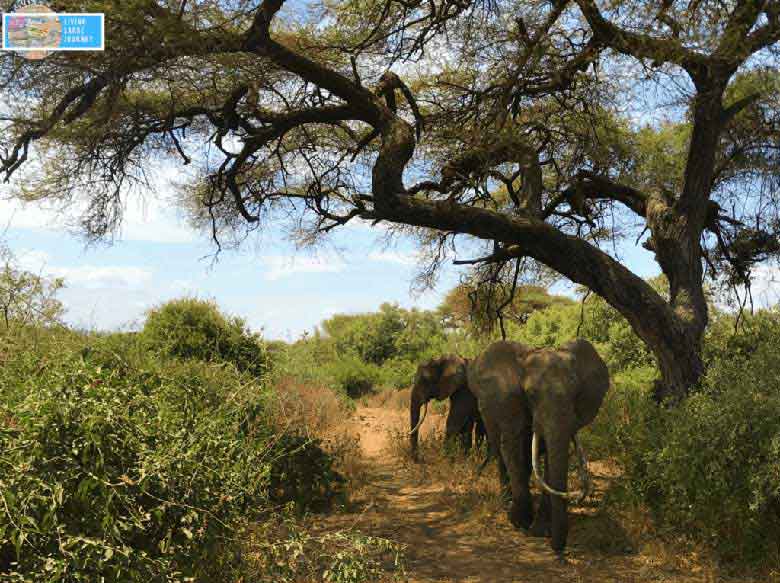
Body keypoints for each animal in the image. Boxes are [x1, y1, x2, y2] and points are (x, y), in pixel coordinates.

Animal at [408, 340, 608, 556]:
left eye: (577, 395)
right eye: (531, 395)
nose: (558, 549)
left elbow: (546, 454)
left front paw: (540, 531)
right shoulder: (500, 400)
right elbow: (508, 443)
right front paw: (520, 523)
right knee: (500, 449)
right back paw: (505, 499)